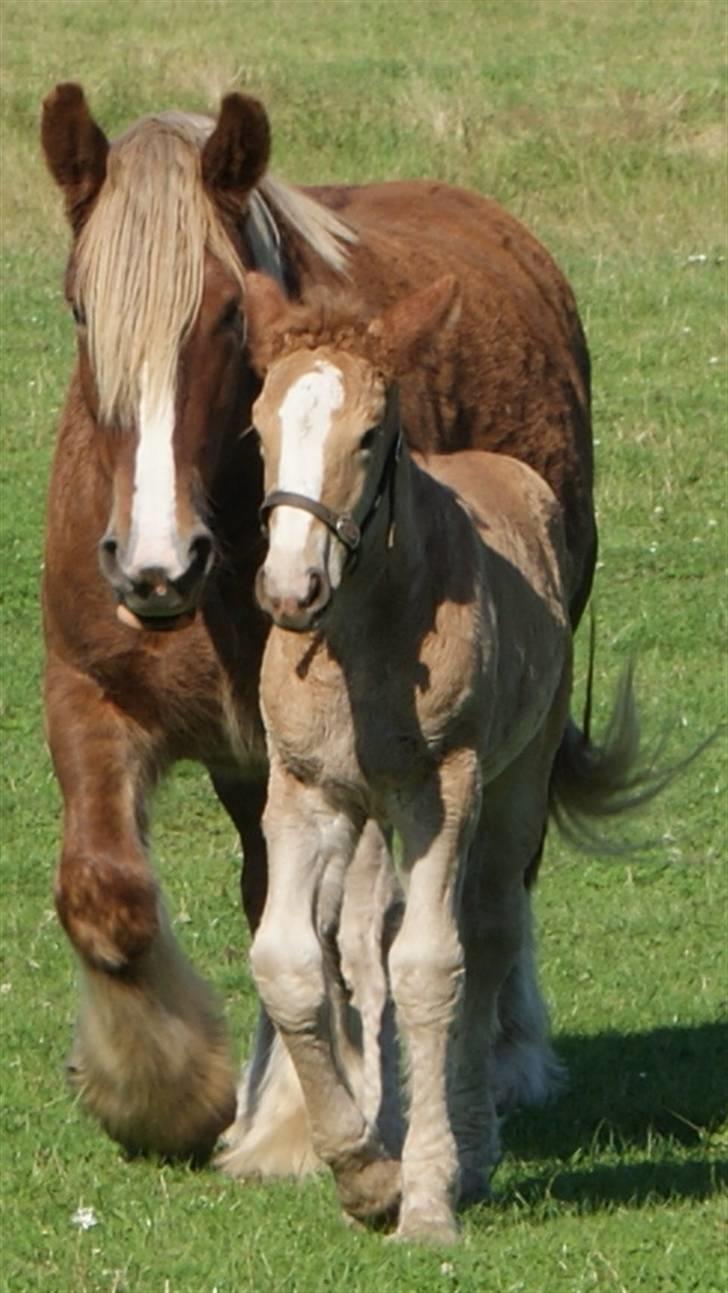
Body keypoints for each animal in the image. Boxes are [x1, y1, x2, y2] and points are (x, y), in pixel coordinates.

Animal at [246, 275, 576, 1241]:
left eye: (368, 435)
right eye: (259, 427)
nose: (291, 589)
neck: (362, 644)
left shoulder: (444, 784)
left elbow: (432, 964)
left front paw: (427, 1197)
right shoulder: (306, 788)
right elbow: (290, 963)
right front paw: (364, 1171)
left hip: (516, 775)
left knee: (491, 925)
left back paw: (471, 1141)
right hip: (370, 814)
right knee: (364, 942)